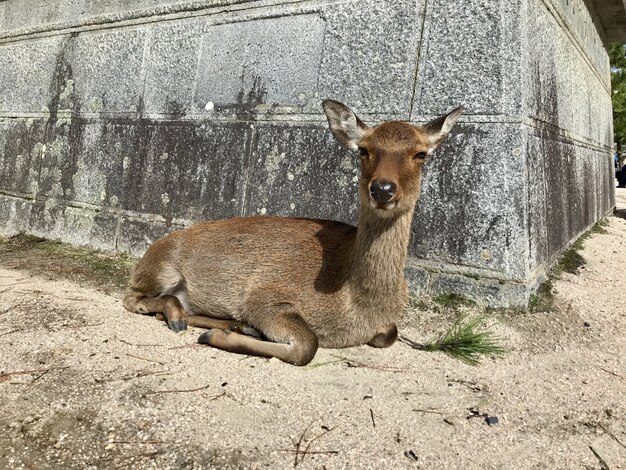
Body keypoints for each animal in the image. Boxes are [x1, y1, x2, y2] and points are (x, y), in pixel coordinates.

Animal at [123, 101, 464, 368]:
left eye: (421, 153)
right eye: (363, 150)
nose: (382, 188)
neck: (357, 306)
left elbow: (390, 334)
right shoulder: (265, 295)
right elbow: (308, 345)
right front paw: (215, 336)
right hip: (162, 268)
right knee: (133, 298)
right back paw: (181, 318)